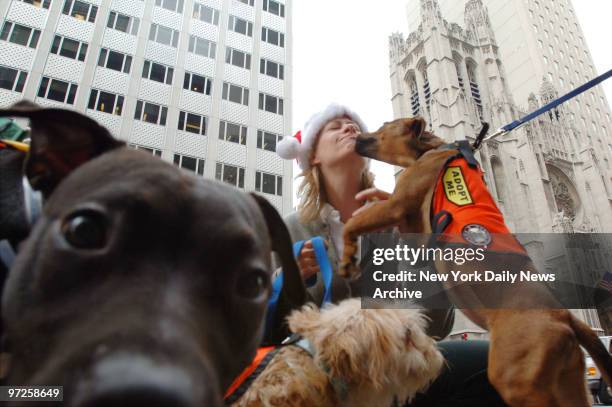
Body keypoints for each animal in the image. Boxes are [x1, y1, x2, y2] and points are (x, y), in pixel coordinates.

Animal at [342, 115, 612, 407]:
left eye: (384, 126)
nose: (354, 133)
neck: (431, 150)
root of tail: (566, 317)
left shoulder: (398, 206)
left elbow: (354, 224)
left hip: (519, 384)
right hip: (566, 384)